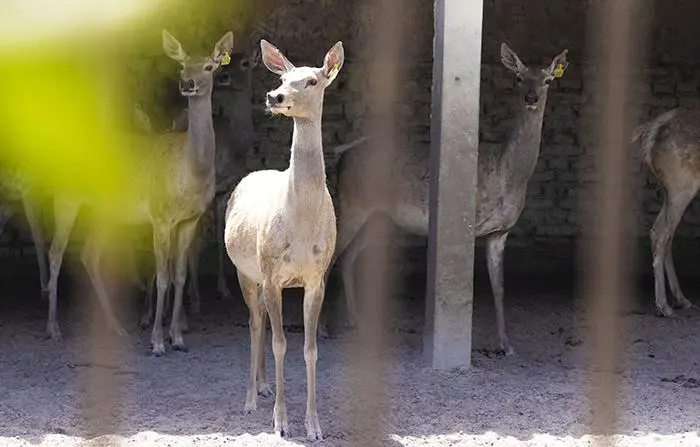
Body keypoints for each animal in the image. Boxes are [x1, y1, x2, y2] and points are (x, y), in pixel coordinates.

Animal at [45, 29, 234, 356]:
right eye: (182, 65)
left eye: (209, 66)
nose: (188, 84)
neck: (191, 172)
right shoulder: (160, 214)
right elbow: (162, 277)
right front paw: (157, 341)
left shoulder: (191, 218)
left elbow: (180, 275)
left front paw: (178, 338)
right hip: (67, 197)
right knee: (56, 253)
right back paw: (54, 329)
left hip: (105, 211)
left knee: (89, 254)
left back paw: (115, 327)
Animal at [224, 39, 344, 440]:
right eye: (281, 78)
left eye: (312, 80)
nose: (273, 97)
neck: (301, 225)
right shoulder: (273, 272)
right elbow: (280, 344)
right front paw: (280, 422)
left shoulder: (317, 276)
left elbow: (310, 349)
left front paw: (314, 425)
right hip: (246, 271)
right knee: (254, 324)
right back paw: (250, 398)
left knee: (259, 319)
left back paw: (262, 386)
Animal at [330, 43, 568, 356]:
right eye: (518, 77)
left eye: (548, 80)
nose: (531, 97)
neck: (508, 177)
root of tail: (343, 154)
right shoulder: (469, 220)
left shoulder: (500, 231)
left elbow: (499, 287)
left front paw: (506, 345)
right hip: (352, 203)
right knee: (330, 253)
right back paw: (323, 328)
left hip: (379, 218)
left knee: (348, 257)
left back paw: (355, 321)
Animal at [632, 109, 696, 318]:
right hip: (682, 184)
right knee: (661, 233)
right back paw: (663, 305)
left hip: (669, 189)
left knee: (664, 233)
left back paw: (680, 299)